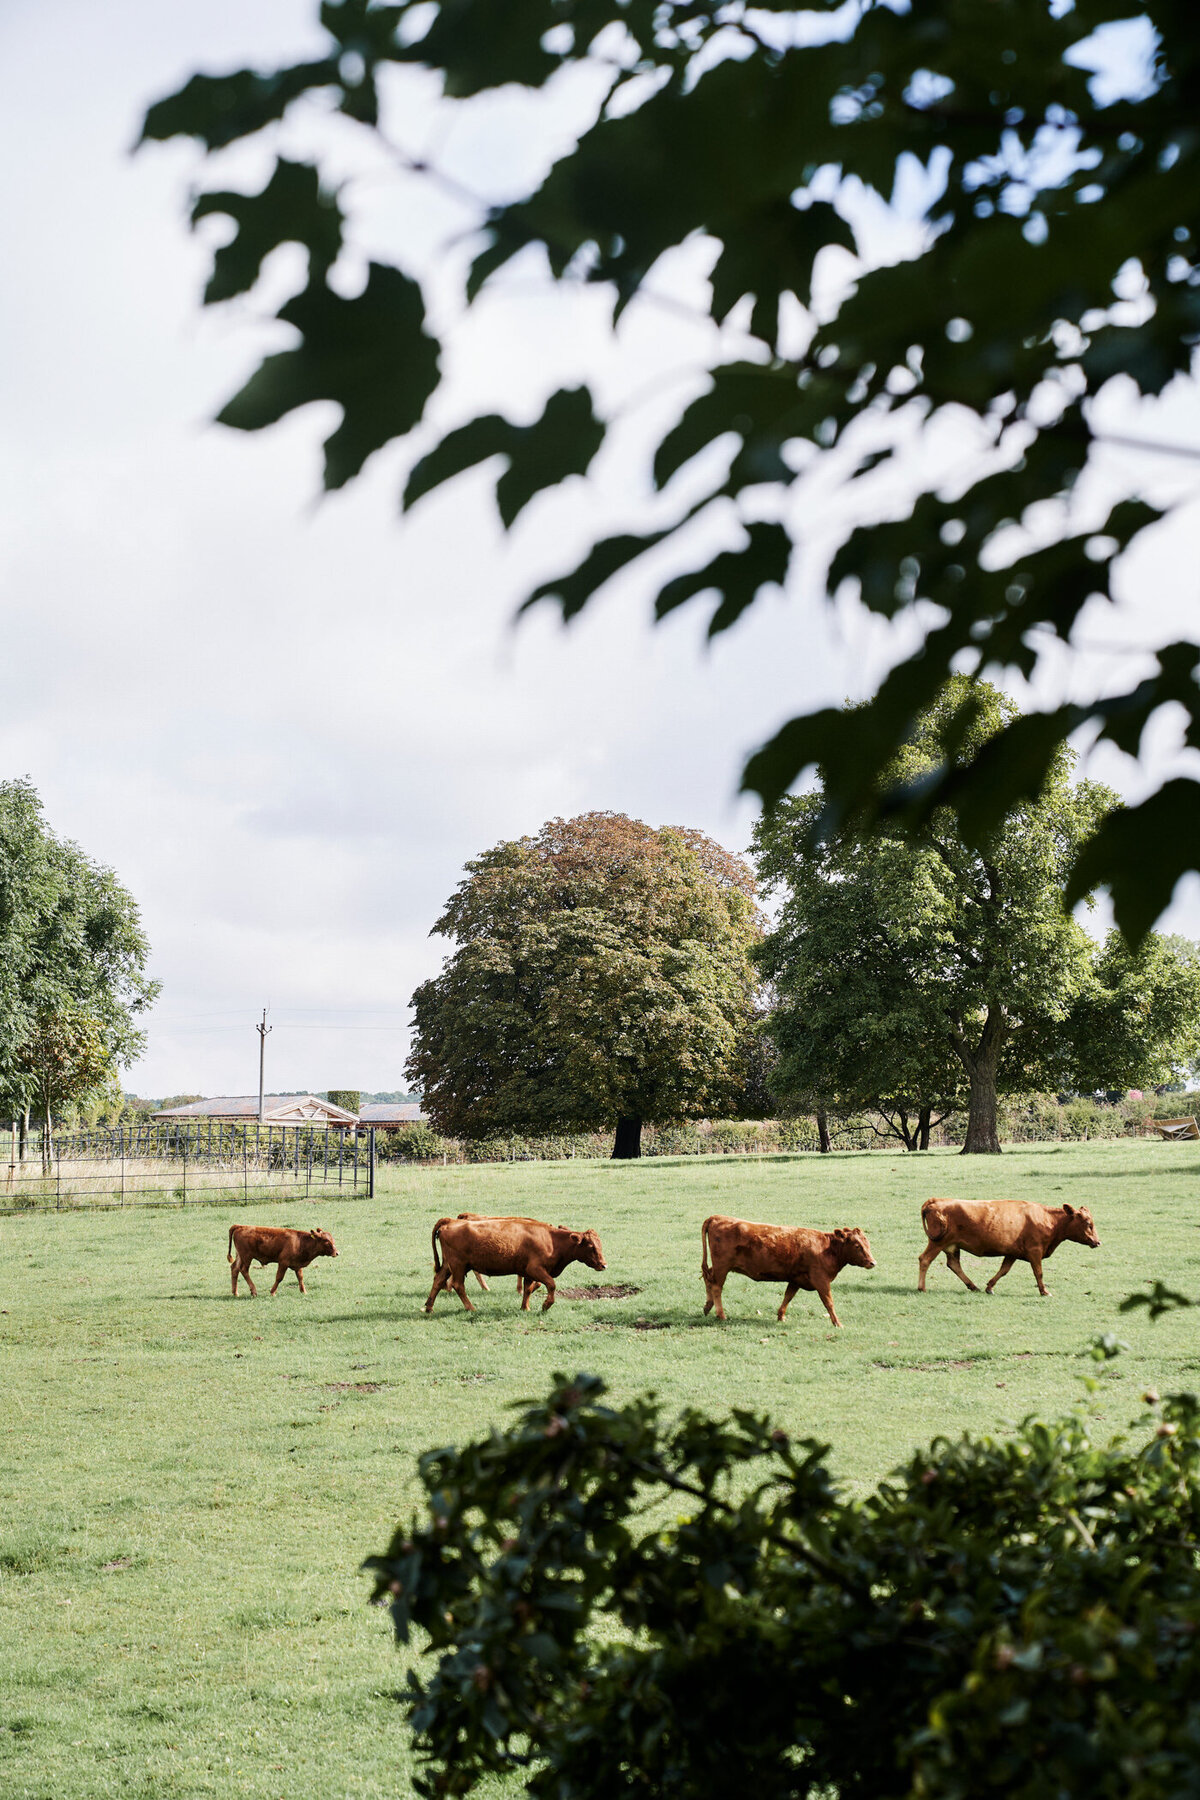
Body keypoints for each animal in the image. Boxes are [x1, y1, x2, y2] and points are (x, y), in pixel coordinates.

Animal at [426, 1216, 604, 1317]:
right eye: (590, 1247)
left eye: (600, 1244)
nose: (604, 1264)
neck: (552, 1240)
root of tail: (451, 1221)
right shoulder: (535, 1269)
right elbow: (551, 1285)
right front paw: (546, 1305)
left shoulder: (528, 1272)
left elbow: (528, 1289)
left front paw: (525, 1307)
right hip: (458, 1265)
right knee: (458, 1286)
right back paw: (471, 1308)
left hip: (448, 1265)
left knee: (438, 1281)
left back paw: (429, 1308)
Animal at [698, 1216, 877, 1332]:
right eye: (857, 1245)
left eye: (867, 1243)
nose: (872, 1262)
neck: (827, 1248)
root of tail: (718, 1217)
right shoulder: (821, 1280)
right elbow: (829, 1303)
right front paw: (837, 1323)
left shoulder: (796, 1279)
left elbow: (788, 1296)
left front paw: (781, 1316)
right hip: (722, 1266)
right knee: (716, 1287)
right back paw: (720, 1314)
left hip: (718, 1267)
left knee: (708, 1279)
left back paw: (707, 1306)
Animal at [913, 1195, 1101, 1296]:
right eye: (1088, 1223)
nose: (1097, 1242)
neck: (1047, 1219)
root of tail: (935, 1200)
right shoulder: (1035, 1251)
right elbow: (1038, 1273)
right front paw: (1044, 1292)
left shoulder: (1012, 1253)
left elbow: (1003, 1270)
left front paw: (989, 1287)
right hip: (938, 1242)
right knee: (925, 1259)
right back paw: (922, 1288)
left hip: (952, 1246)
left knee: (954, 1264)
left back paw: (973, 1286)